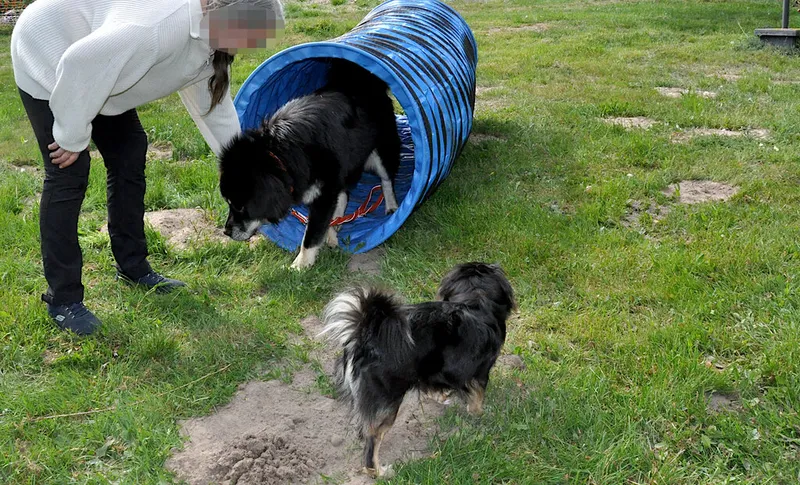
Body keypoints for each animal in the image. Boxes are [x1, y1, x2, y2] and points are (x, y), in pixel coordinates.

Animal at [218, 58, 401, 270]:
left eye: (240, 207)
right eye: (228, 203)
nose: (226, 232)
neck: (279, 156)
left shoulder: (323, 196)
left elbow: (311, 235)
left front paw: (300, 265)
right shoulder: (328, 188)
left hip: (381, 152)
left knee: (387, 179)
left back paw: (392, 207)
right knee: (345, 194)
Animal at [319, 262, 516, 477]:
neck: (475, 301)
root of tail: (366, 338)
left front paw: (442, 397)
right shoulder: (479, 372)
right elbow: (477, 396)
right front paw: (479, 412)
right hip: (387, 402)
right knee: (372, 444)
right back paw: (380, 472)